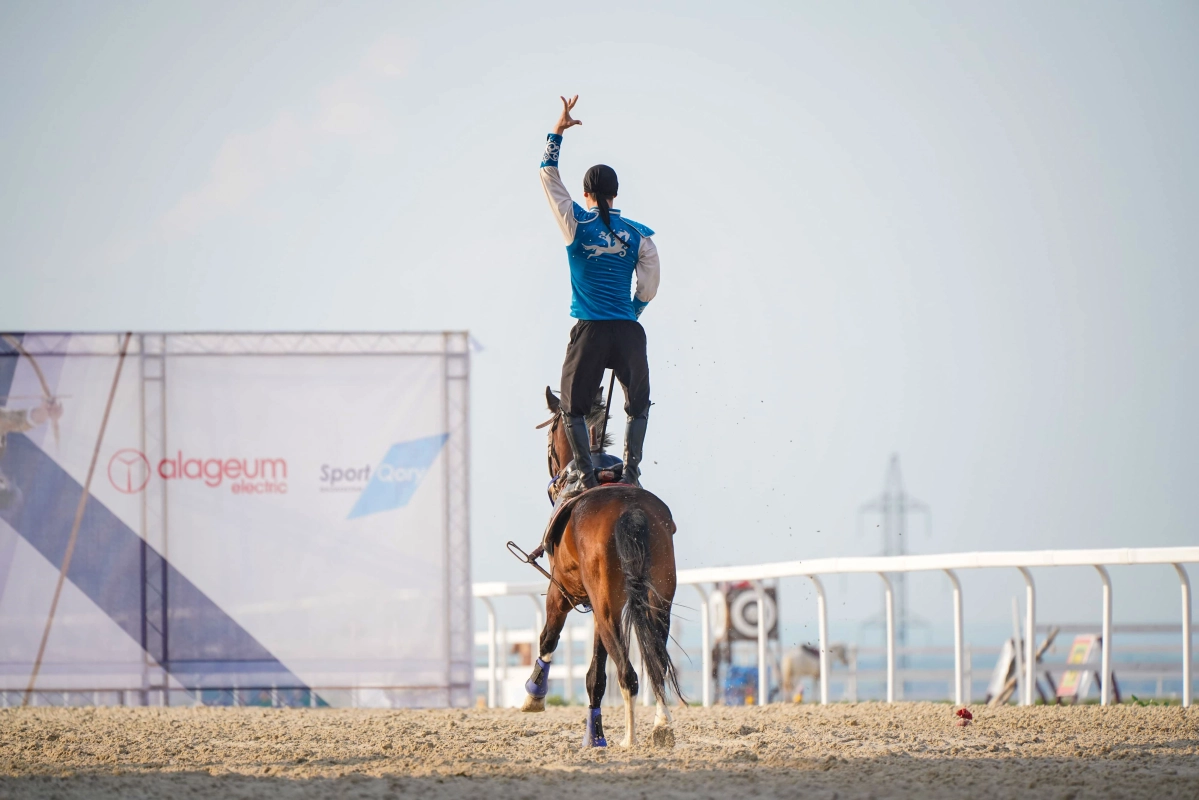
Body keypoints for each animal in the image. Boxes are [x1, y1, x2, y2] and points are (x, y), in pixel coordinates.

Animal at [520, 388, 681, 753]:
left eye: (549, 438)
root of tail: (630, 511)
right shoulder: (597, 605)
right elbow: (596, 673)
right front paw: (594, 734)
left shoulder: (561, 593)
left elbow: (548, 638)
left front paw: (534, 695)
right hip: (656, 601)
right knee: (656, 662)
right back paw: (661, 725)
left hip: (608, 608)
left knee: (629, 674)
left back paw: (630, 738)